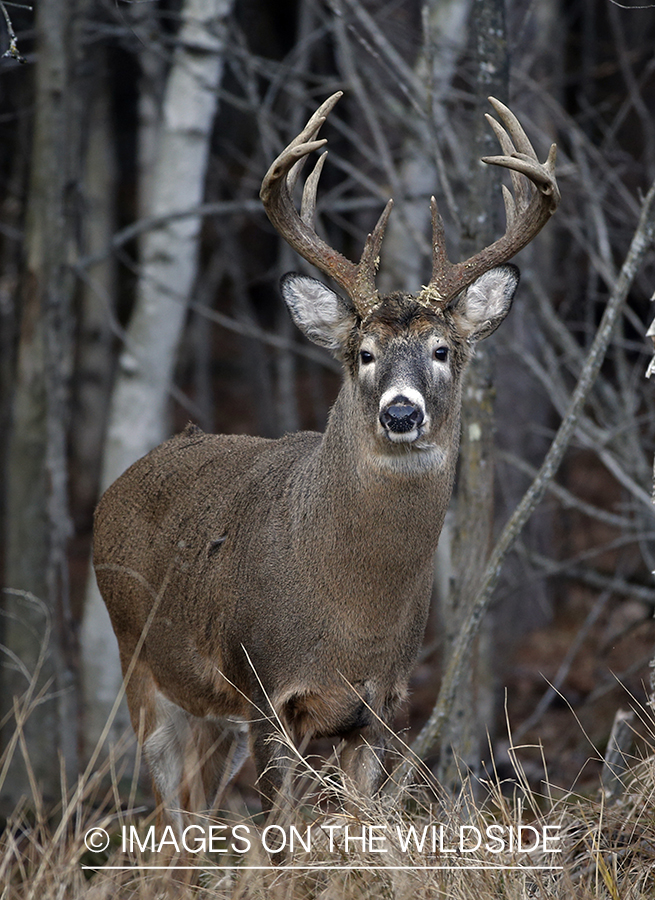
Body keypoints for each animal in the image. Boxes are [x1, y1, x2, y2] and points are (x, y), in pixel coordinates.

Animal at [92, 93, 560, 828]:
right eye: (363, 353)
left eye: (441, 350)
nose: (401, 414)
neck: (354, 616)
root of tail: (116, 488)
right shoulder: (264, 689)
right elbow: (281, 832)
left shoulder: (381, 708)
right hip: (142, 663)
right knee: (171, 808)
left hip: (211, 713)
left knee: (198, 806)